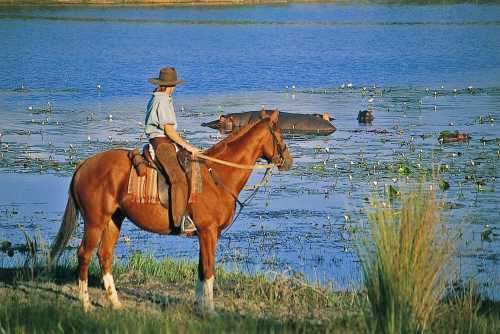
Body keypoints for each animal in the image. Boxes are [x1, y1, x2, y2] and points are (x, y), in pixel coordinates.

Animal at [49, 110, 292, 314]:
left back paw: (115, 303)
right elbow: (208, 270)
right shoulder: (208, 232)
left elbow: (201, 270)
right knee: (84, 254)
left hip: (113, 220)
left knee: (104, 255)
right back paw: (86, 304)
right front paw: (210, 312)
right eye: (279, 134)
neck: (217, 174)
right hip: (95, 221)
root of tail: (83, 165)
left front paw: (199, 308)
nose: (289, 161)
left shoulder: (204, 235)